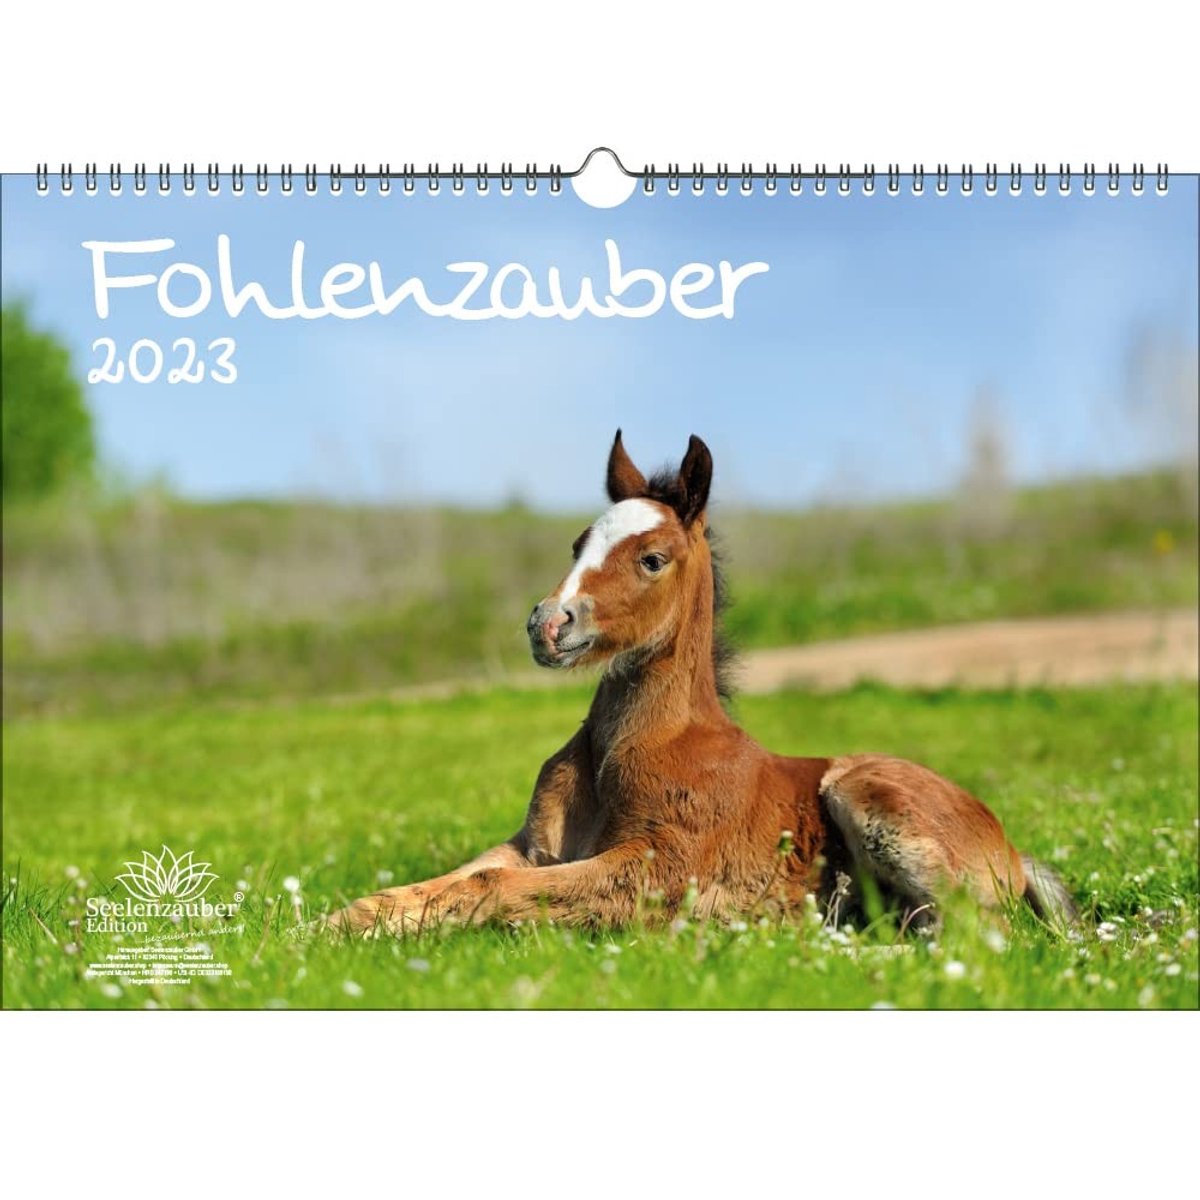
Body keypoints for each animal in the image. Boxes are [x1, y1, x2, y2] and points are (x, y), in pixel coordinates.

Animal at [326, 430, 1076, 936]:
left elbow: (494, 888)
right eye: (577, 545)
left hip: (866, 794)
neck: (629, 750)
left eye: (653, 558)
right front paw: (329, 928)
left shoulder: (656, 869)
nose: (548, 624)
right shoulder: (530, 846)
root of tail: (1013, 850)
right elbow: (459, 877)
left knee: (974, 934)